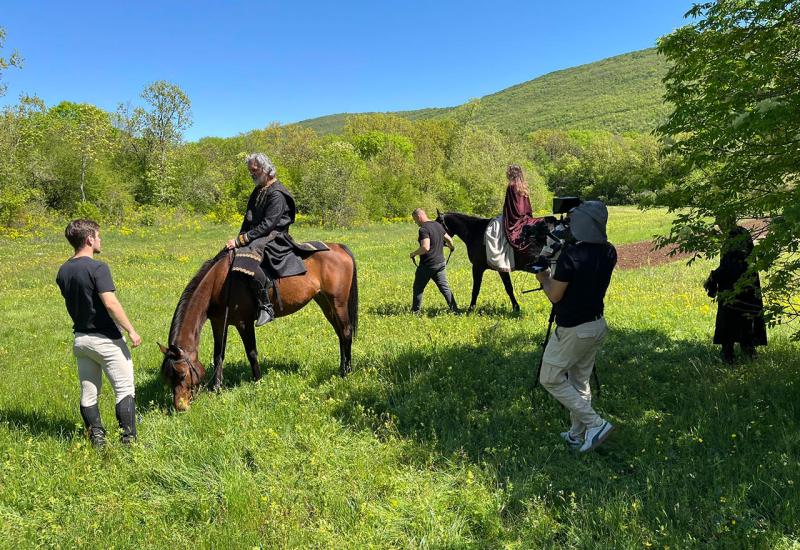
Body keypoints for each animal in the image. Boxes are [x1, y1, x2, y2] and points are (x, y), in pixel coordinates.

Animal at [159, 247, 356, 414]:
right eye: (168, 377)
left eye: (182, 374)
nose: (180, 407)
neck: (220, 283)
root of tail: (339, 248)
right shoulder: (218, 322)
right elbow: (218, 356)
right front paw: (217, 388)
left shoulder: (243, 322)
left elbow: (251, 353)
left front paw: (258, 382)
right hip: (324, 302)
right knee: (340, 334)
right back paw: (342, 368)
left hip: (338, 302)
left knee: (346, 333)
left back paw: (346, 373)